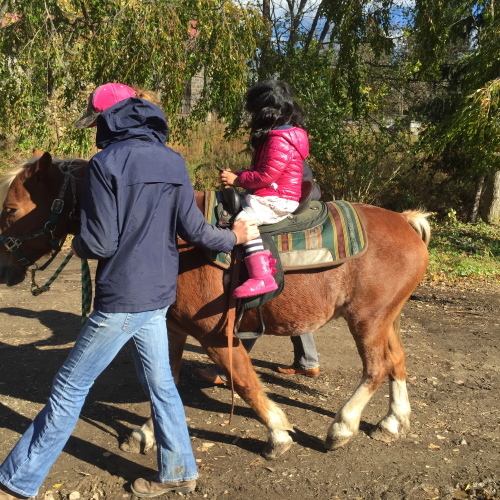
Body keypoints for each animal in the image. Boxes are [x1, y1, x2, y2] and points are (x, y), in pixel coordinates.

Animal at [0, 153, 430, 460]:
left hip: (366, 320)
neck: (172, 234)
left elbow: (244, 379)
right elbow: (165, 381)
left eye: (11, 210)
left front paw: (277, 433)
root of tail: (406, 221)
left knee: (376, 368)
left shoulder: (213, 334)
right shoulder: (172, 327)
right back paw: (394, 421)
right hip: (384, 319)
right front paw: (147, 434)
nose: (4, 267)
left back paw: (342, 427)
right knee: (397, 360)